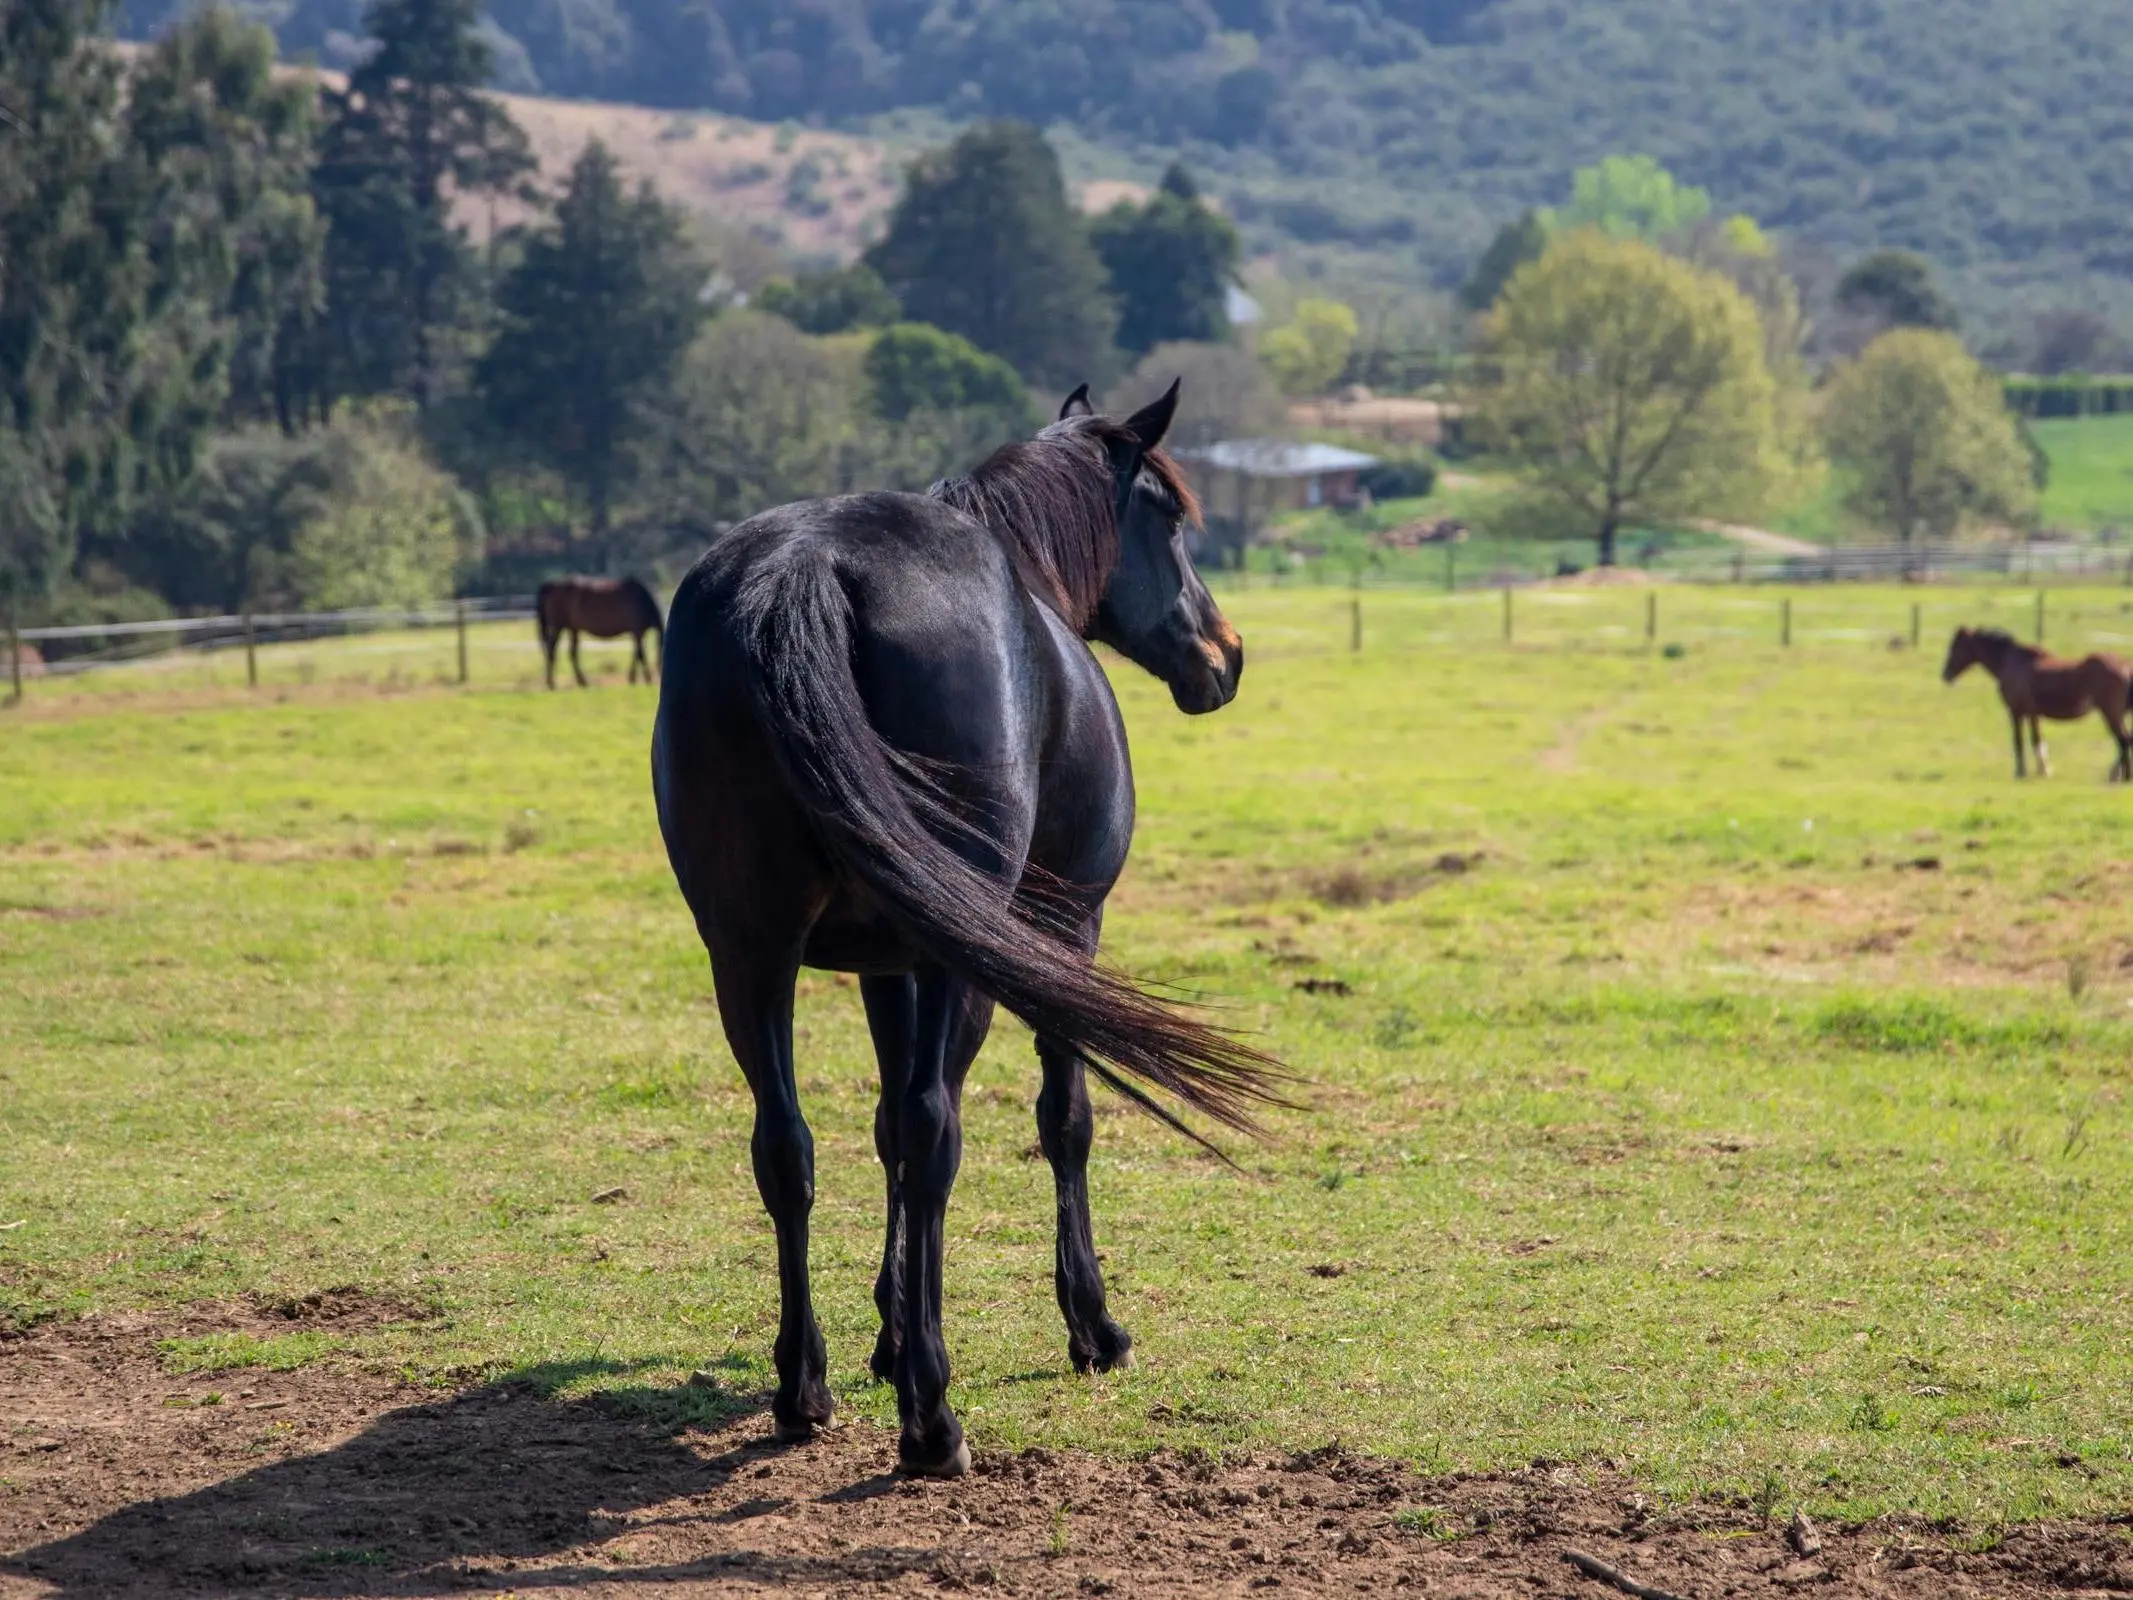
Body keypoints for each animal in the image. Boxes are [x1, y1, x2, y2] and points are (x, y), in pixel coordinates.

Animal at [648, 386, 1279, 1476]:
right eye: (1167, 519)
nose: (1223, 653)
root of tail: (802, 574)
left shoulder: (883, 966)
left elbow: (879, 1131)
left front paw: (888, 1330)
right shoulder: (1060, 934)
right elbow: (1057, 1117)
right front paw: (1089, 1325)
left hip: (751, 954)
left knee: (788, 1147)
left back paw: (803, 1385)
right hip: (958, 955)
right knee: (932, 1129)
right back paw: (932, 1419)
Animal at [1945, 622, 2124, 780]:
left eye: (1955, 647)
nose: (1945, 675)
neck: (2011, 662)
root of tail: (2124, 667)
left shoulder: (2016, 712)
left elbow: (2019, 741)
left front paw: (2021, 772)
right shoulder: (2033, 714)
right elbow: (2037, 739)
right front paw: (2043, 771)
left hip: (2111, 713)